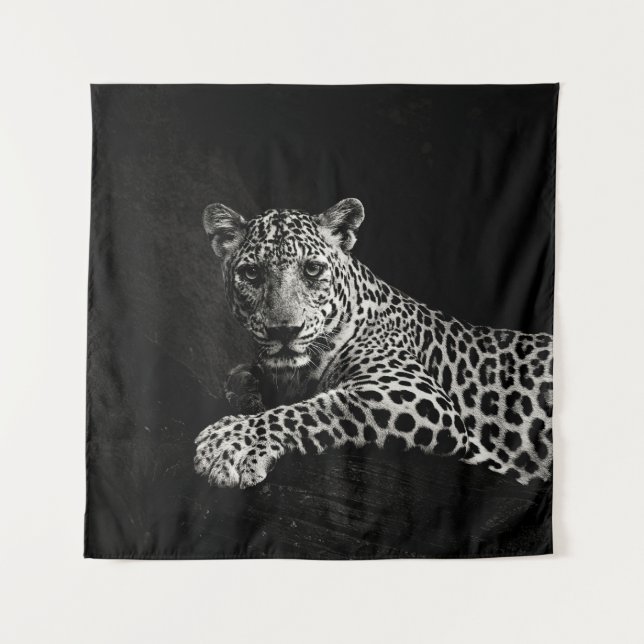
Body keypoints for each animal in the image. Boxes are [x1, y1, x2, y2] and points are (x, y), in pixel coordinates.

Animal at [195, 198, 553, 489]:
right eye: (251, 274)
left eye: (312, 270)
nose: (285, 332)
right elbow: (241, 377)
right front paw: (249, 399)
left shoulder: (421, 398)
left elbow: (319, 407)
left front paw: (231, 442)